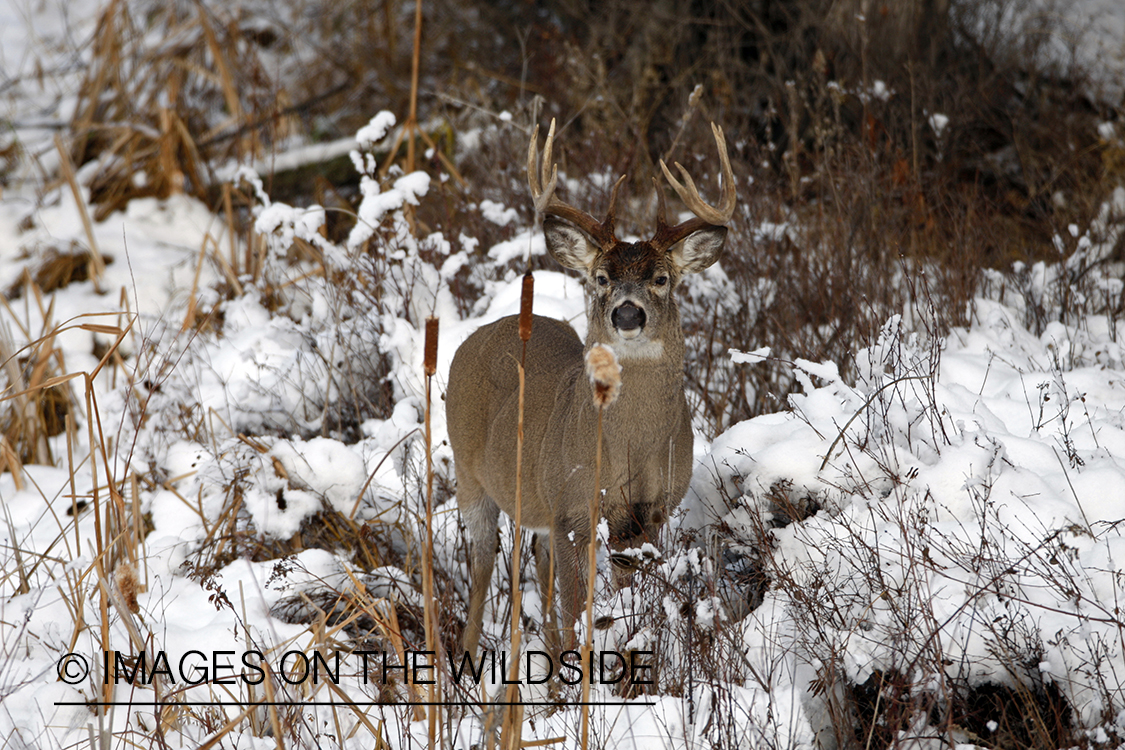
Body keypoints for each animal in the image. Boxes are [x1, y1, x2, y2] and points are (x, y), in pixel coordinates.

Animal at [446, 120, 737, 656]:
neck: (630, 448)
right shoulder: (572, 510)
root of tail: (479, 334)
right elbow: (575, 609)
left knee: (535, 558)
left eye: (661, 278)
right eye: (601, 277)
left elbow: (620, 602)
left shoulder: (647, 515)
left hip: (536, 497)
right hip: (469, 472)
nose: (627, 313)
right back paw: (467, 655)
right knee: (482, 565)